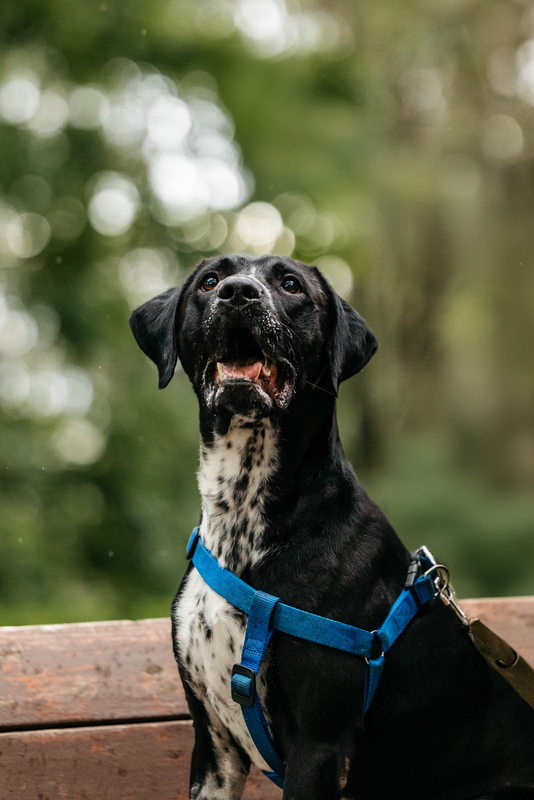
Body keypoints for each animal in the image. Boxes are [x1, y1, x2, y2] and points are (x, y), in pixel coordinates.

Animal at [131, 255, 534, 800]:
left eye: (290, 284)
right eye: (210, 281)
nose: (238, 293)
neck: (245, 511)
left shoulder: (318, 746)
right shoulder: (214, 745)